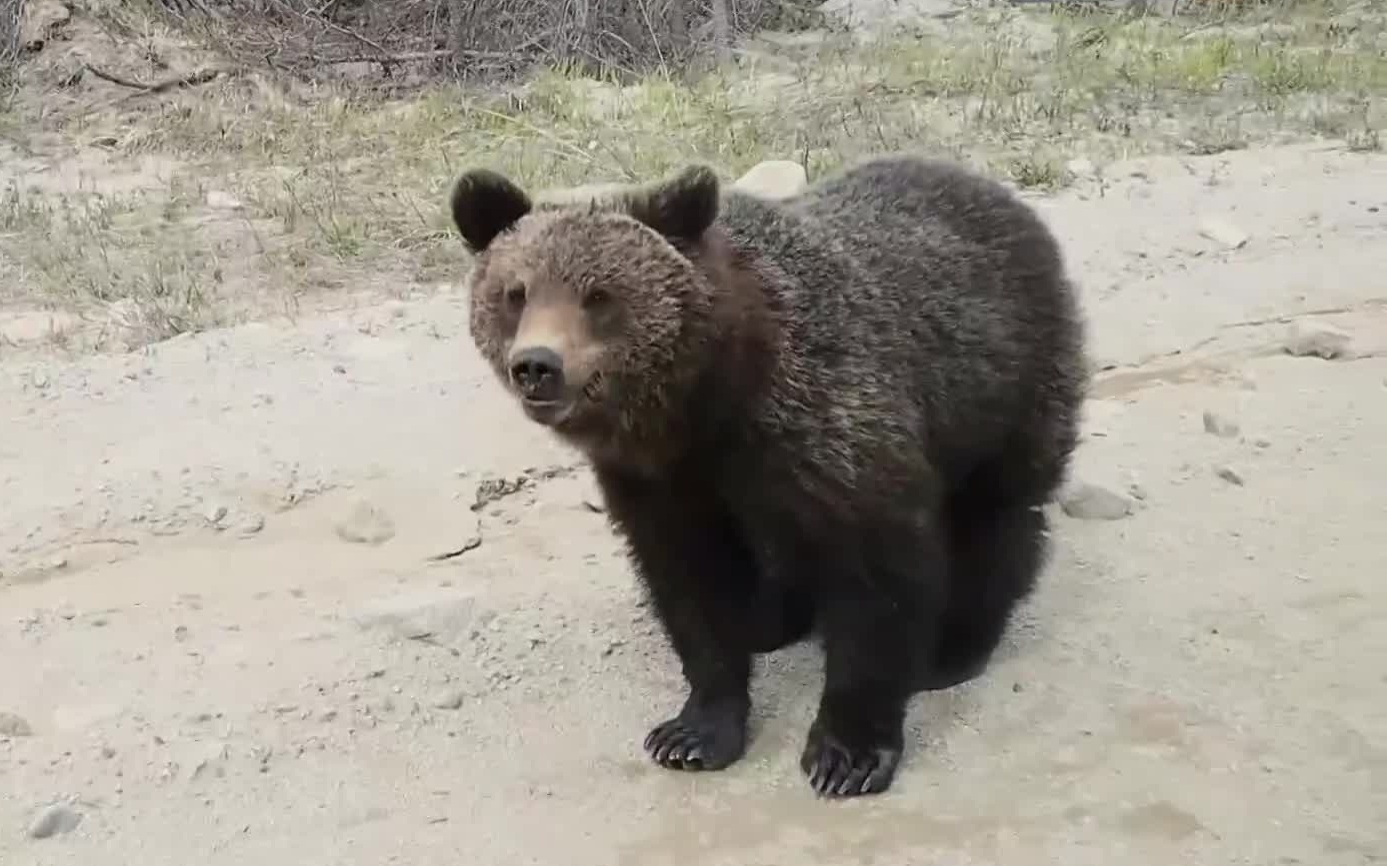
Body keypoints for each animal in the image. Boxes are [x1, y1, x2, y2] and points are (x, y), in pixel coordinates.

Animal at [450, 153, 1088, 798]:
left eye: (599, 295)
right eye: (515, 293)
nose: (537, 365)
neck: (701, 402)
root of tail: (997, 192)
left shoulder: (831, 426)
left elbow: (880, 579)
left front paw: (847, 750)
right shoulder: (659, 481)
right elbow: (689, 585)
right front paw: (694, 730)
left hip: (1003, 396)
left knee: (995, 519)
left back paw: (954, 646)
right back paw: (772, 621)